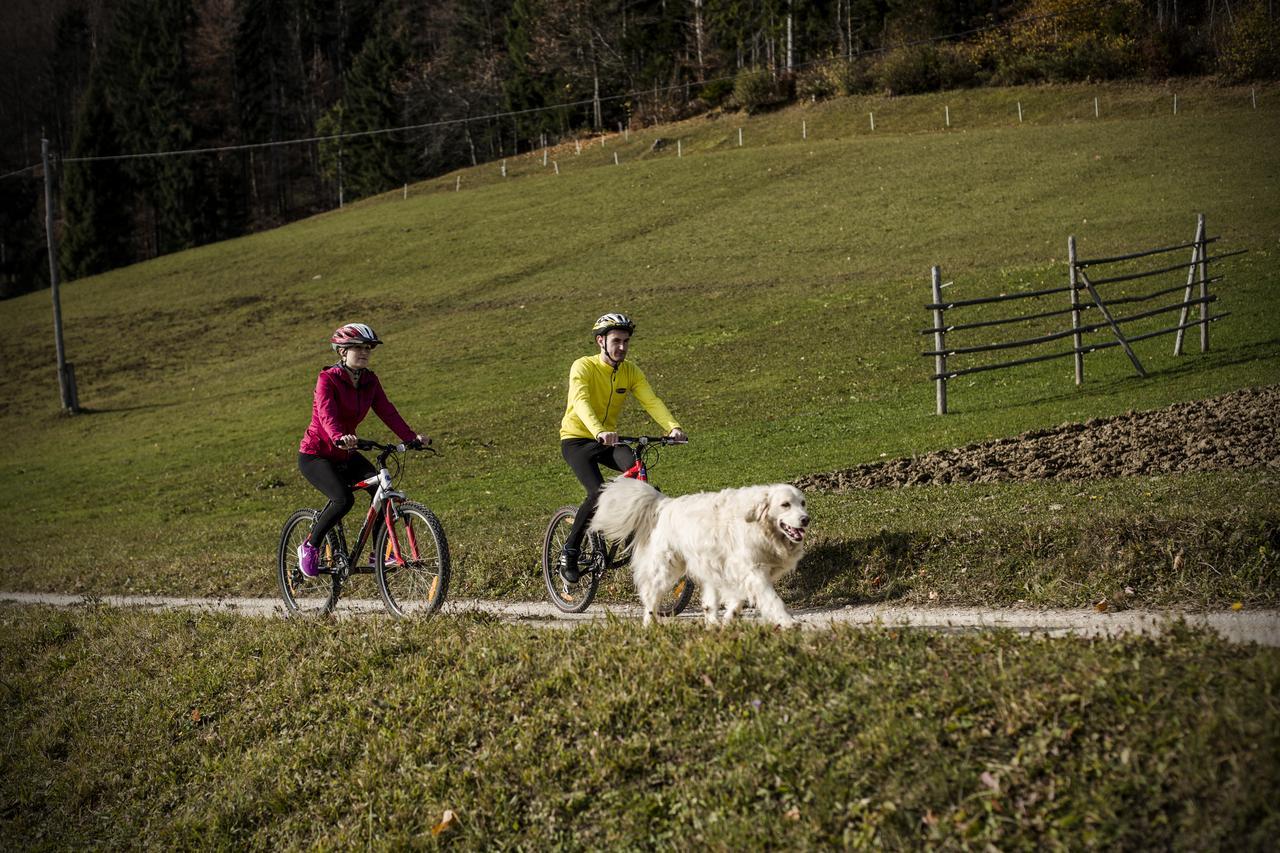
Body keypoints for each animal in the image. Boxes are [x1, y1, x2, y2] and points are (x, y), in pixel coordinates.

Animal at [588, 479, 808, 625]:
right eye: (785, 504)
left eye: (803, 503)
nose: (806, 519)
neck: (761, 526)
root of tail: (666, 503)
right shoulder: (753, 570)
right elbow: (772, 599)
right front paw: (788, 621)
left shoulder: (738, 571)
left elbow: (737, 599)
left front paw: (729, 618)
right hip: (667, 567)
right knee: (651, 595)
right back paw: (650, 625)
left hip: (708, 564)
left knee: (708, 603)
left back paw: (714, 625)